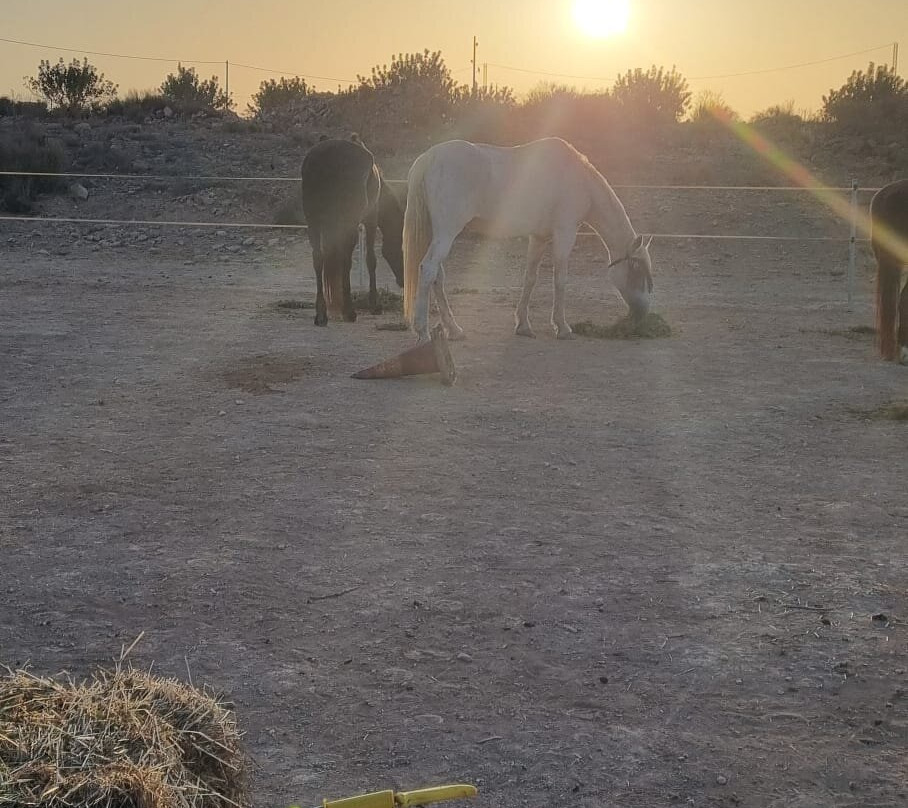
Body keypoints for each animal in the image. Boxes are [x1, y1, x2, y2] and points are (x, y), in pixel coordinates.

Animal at [300, 136, 404, 326]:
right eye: (402, 247)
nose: (402, 280)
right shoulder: (371, 219)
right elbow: (371, 259)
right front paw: (375, 305)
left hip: (314, 222)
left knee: (318, 259)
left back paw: (322, 313)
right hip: (347, 224)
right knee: (345, 261)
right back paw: (348, 311)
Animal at [402, 137, 654, 342]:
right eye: (637, 270)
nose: (643, 314)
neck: (579, 179)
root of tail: (429, 158)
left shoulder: (539, 238)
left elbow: (530, 278)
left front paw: (523, 325)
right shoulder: (565, 233)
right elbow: (560, 280)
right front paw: (562, 327)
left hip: (437, 234)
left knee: (437, 276)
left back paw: (454, 330)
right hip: (447, 232)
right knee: (428, 269)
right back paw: (423, 332)